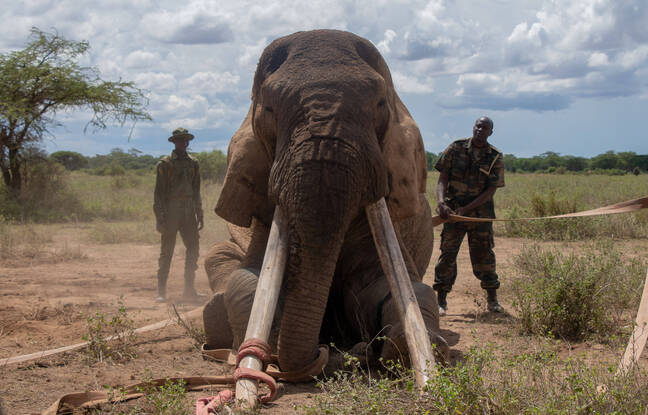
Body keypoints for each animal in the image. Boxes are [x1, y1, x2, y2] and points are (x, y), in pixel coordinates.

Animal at [205, 27, 448, 376]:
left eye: (380, 104)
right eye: (269, 110)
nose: (357, 351)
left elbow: (398, 288)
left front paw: (404, 347)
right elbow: (246, 278)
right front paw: (269, 343)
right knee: (216, 255)